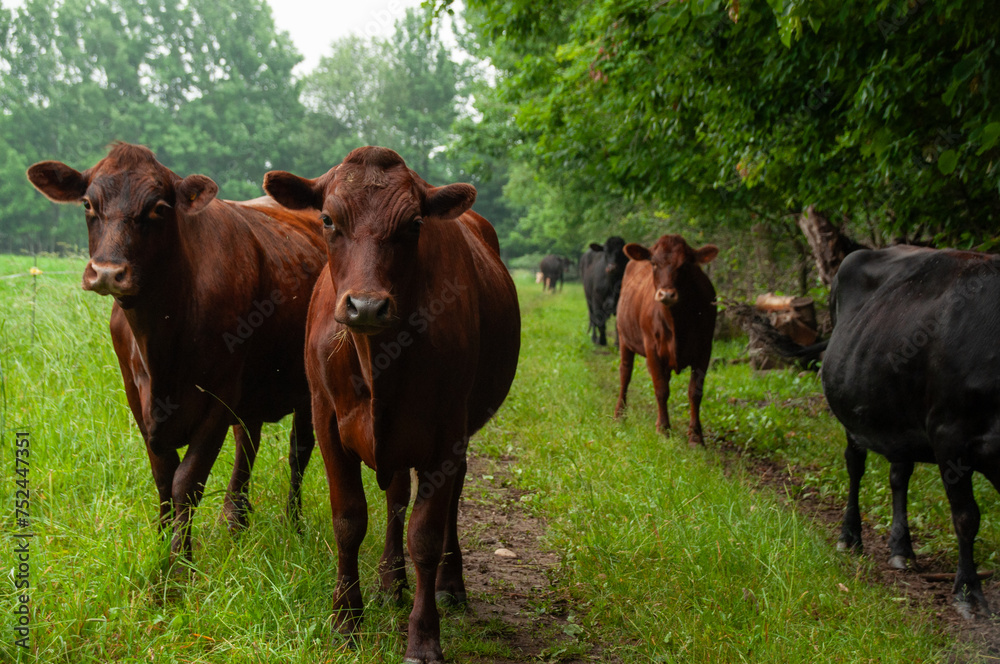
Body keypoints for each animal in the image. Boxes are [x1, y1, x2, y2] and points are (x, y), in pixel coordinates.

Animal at [26, 143, 324, 564]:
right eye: (87, 202)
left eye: (159, 208)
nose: (107, 272)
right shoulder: (137, 394)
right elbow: (163, 476)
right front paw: (160, 544)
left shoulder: (218, 396)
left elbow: (187, 480)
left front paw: (179, 563)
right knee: (247, 443)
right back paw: (235, 522)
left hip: (306, 387)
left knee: (298, 452)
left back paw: (292, 524)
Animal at [262, 147, 520, 664]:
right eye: (327, 219)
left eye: (415, 224)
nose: (365, 306)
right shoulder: (325, 418)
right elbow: (349, 520)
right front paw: (346, 620)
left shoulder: (447, 431)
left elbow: (427, 534)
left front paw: (423, 637)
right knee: (396, 496)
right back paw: (390, 581)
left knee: (448, 503)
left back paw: (450, 584)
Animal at [612, 233, 716, 446]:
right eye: (654, 263)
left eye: (685, 265)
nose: (666, 294)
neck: (678, 321)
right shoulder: (651, 347)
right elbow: (661, 389)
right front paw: (664, 430)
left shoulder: (705, 348)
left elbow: (695, 391)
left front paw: (696, 436)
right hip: (624, 338)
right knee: (625, 373)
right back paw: (620, 415)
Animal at [820, 246, 1000, 620]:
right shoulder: (950, 435)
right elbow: (966, 517)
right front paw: (968, 593)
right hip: (850, 410)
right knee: (854, 466)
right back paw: (850, 536)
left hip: (896, 419)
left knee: (899, 476)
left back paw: (901, 548)